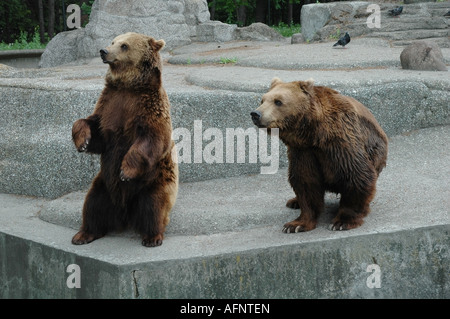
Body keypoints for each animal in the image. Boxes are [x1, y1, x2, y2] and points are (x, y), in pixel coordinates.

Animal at [71, 32, 178, 248]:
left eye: (124, 45)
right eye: (113, 41)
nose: (103, 51)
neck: (128, 86)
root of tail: (124, 213)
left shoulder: (149, 107)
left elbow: (153, 139)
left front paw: (125, 171)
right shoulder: (109, 104)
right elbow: (95, 130)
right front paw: (82, 141)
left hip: (154, 182)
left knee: (154, 206)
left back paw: (152, 237)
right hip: (103, 185)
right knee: (93, 205)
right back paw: (83, 234)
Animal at [251, 76, 388, 234]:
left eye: (278, 101)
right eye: (262, 100)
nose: (256, 114)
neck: (313, 133)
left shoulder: (341, 140)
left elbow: (356, 174)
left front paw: (342, 222)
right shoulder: (302, 151)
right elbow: (305, 181)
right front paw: (295, 225)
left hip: (376, 150)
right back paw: (294, 201)